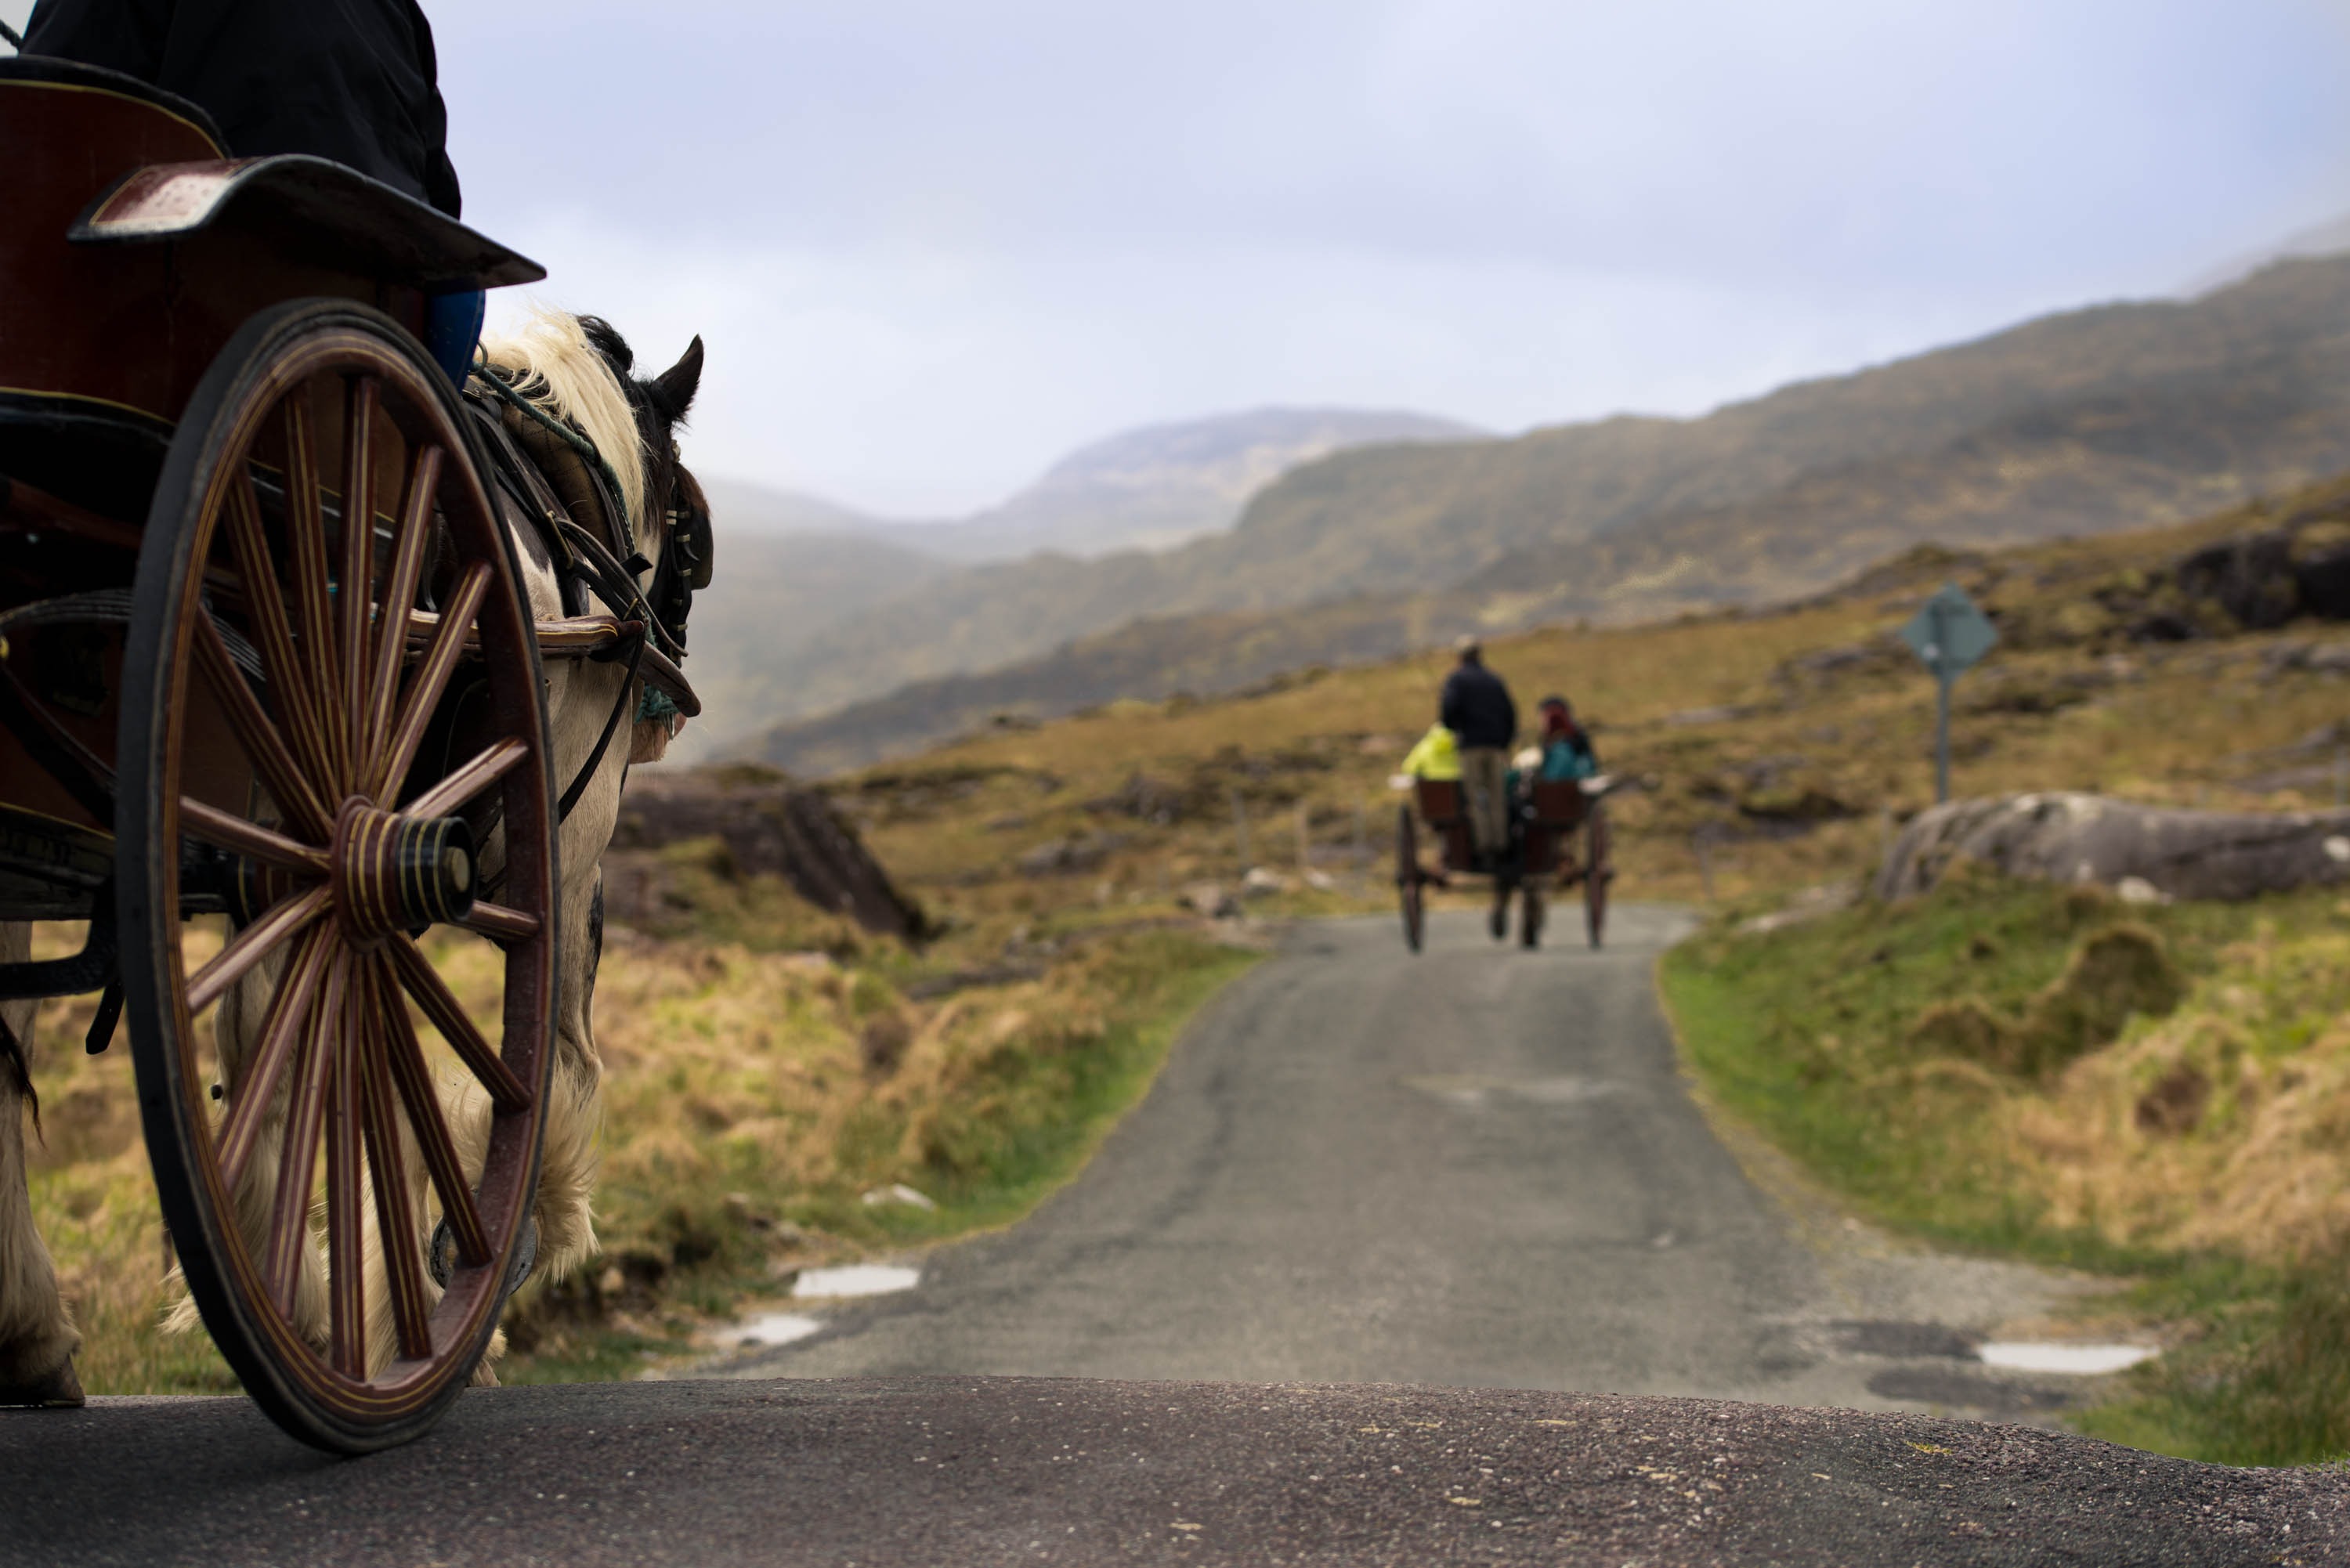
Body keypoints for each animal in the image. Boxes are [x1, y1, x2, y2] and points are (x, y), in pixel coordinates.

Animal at [2, 305, 714, 1400]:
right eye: (686, 521)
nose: (667, 690)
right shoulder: (564, 845)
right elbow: (549, 1062)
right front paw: (457, 1268)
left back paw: (35, 1322)